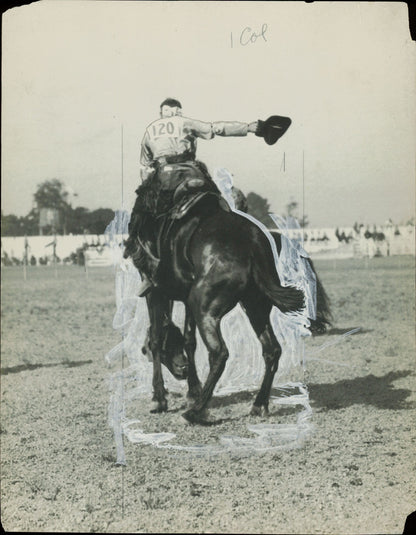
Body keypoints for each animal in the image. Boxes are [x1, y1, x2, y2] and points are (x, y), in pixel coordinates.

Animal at [129, 191, 332, 426]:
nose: (182, 368)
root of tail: (253, 241)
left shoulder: (155, 293)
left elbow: (155, 338)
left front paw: (160, 399)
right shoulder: (185, 300)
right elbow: (190, 340)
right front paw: (193, 391)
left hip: (204, 307)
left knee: (219, 353)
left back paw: (195, 412)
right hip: (253, 306)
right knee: (271, 350)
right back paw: (258, 404)